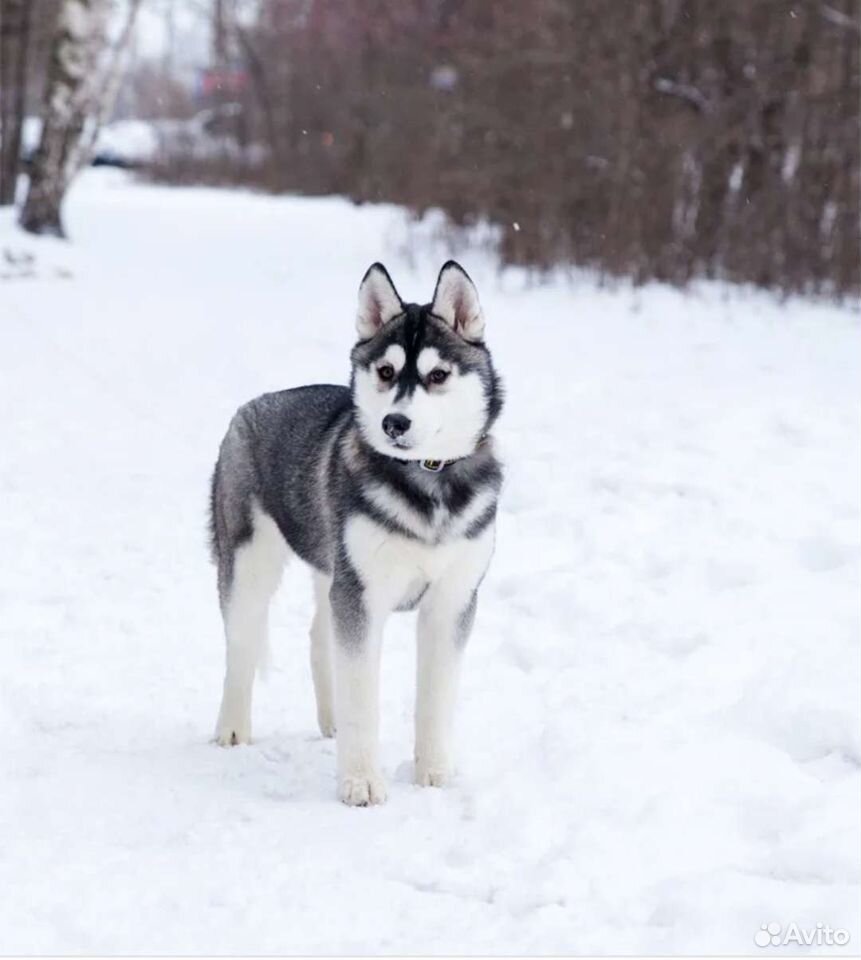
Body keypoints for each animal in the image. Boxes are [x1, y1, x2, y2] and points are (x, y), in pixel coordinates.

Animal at [210, 260, 504, 804]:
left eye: (437, 375)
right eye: (386, 372)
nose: (394, 422)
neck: (427, 480)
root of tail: (256, 403)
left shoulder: (452, 599)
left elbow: (436, 696)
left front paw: (433, 772)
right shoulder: (362, 597)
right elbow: (363, 697)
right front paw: (362, 782)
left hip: (332, 569)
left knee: (317, 636)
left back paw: (331, 723)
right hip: (247, 563)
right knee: (240, 643)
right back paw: (233, 727)